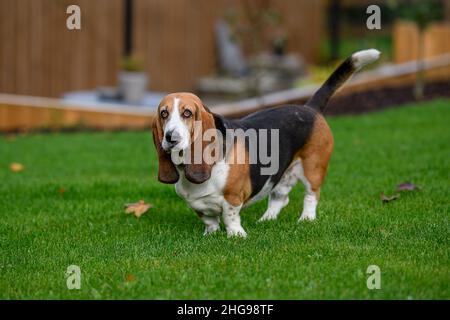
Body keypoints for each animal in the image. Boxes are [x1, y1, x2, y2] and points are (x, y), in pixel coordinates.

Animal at [152, 48, 380, 236]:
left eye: (187, 113)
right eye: (164, 113)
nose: (170, 138)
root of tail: (310, 108)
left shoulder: (233, 198)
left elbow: (230, 216)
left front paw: (236, 235)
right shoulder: (198, 206)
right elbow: (209, 220)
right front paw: (211, 234)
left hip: (313, 167)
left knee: (312, 195)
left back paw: (306, 219)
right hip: (282, 175)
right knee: (280, 198)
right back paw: (266, 220)